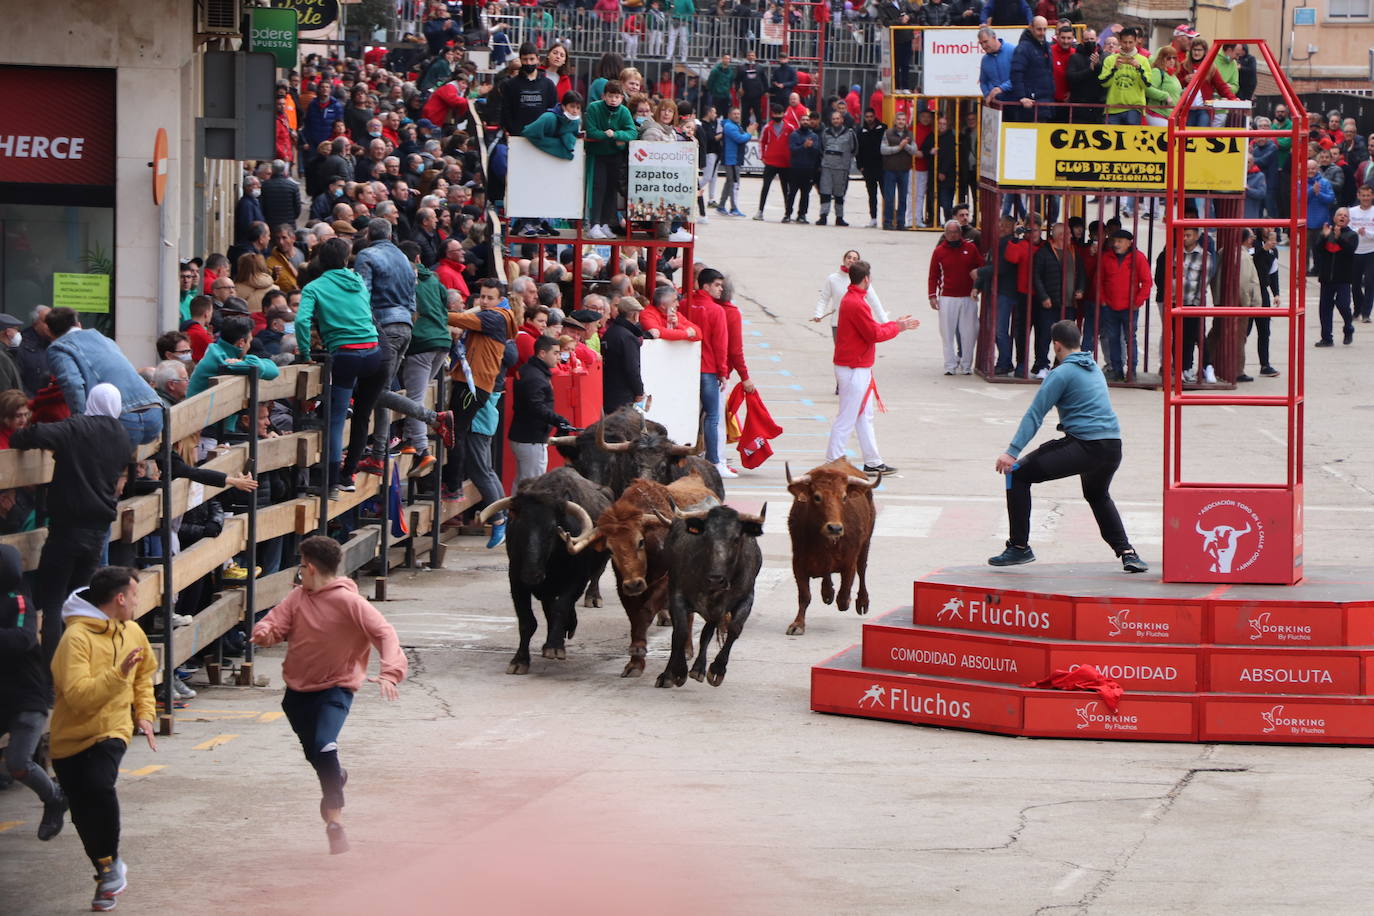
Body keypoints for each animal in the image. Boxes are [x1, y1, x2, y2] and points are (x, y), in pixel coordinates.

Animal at [785, 461, 879, 634]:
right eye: (817, 497)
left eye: (844, 497)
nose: (835, 528)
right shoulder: (798, 563)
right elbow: (804, 596)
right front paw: (797, 624)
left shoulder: (850, 562)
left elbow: (843, 596)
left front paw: (847, 600)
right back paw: (827, 592)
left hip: (866, 543)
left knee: (862, 569)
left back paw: (862, 601)